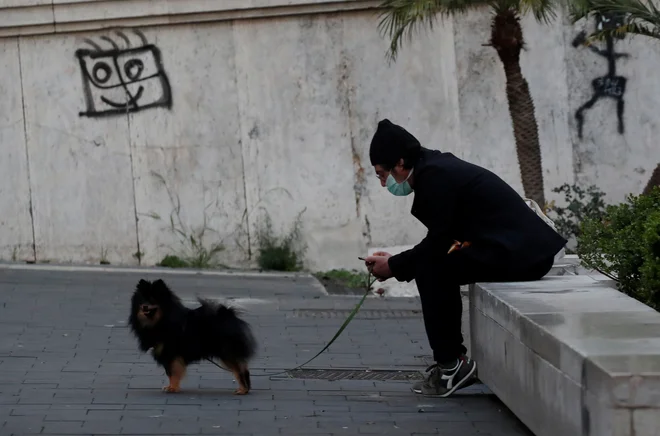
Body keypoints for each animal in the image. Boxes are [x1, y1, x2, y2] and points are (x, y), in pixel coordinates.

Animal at [127, 280, 256, 396]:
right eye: (142, 300)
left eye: (152, 300)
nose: (144, 306)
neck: (162, 320)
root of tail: (229, 316)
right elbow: (170, 372)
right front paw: (171, 387)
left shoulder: (171, 353)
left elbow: (172, 373)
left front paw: (173, 388)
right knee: (243, 367)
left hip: (226, 352)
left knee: (240, 369)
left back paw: (243, 390)